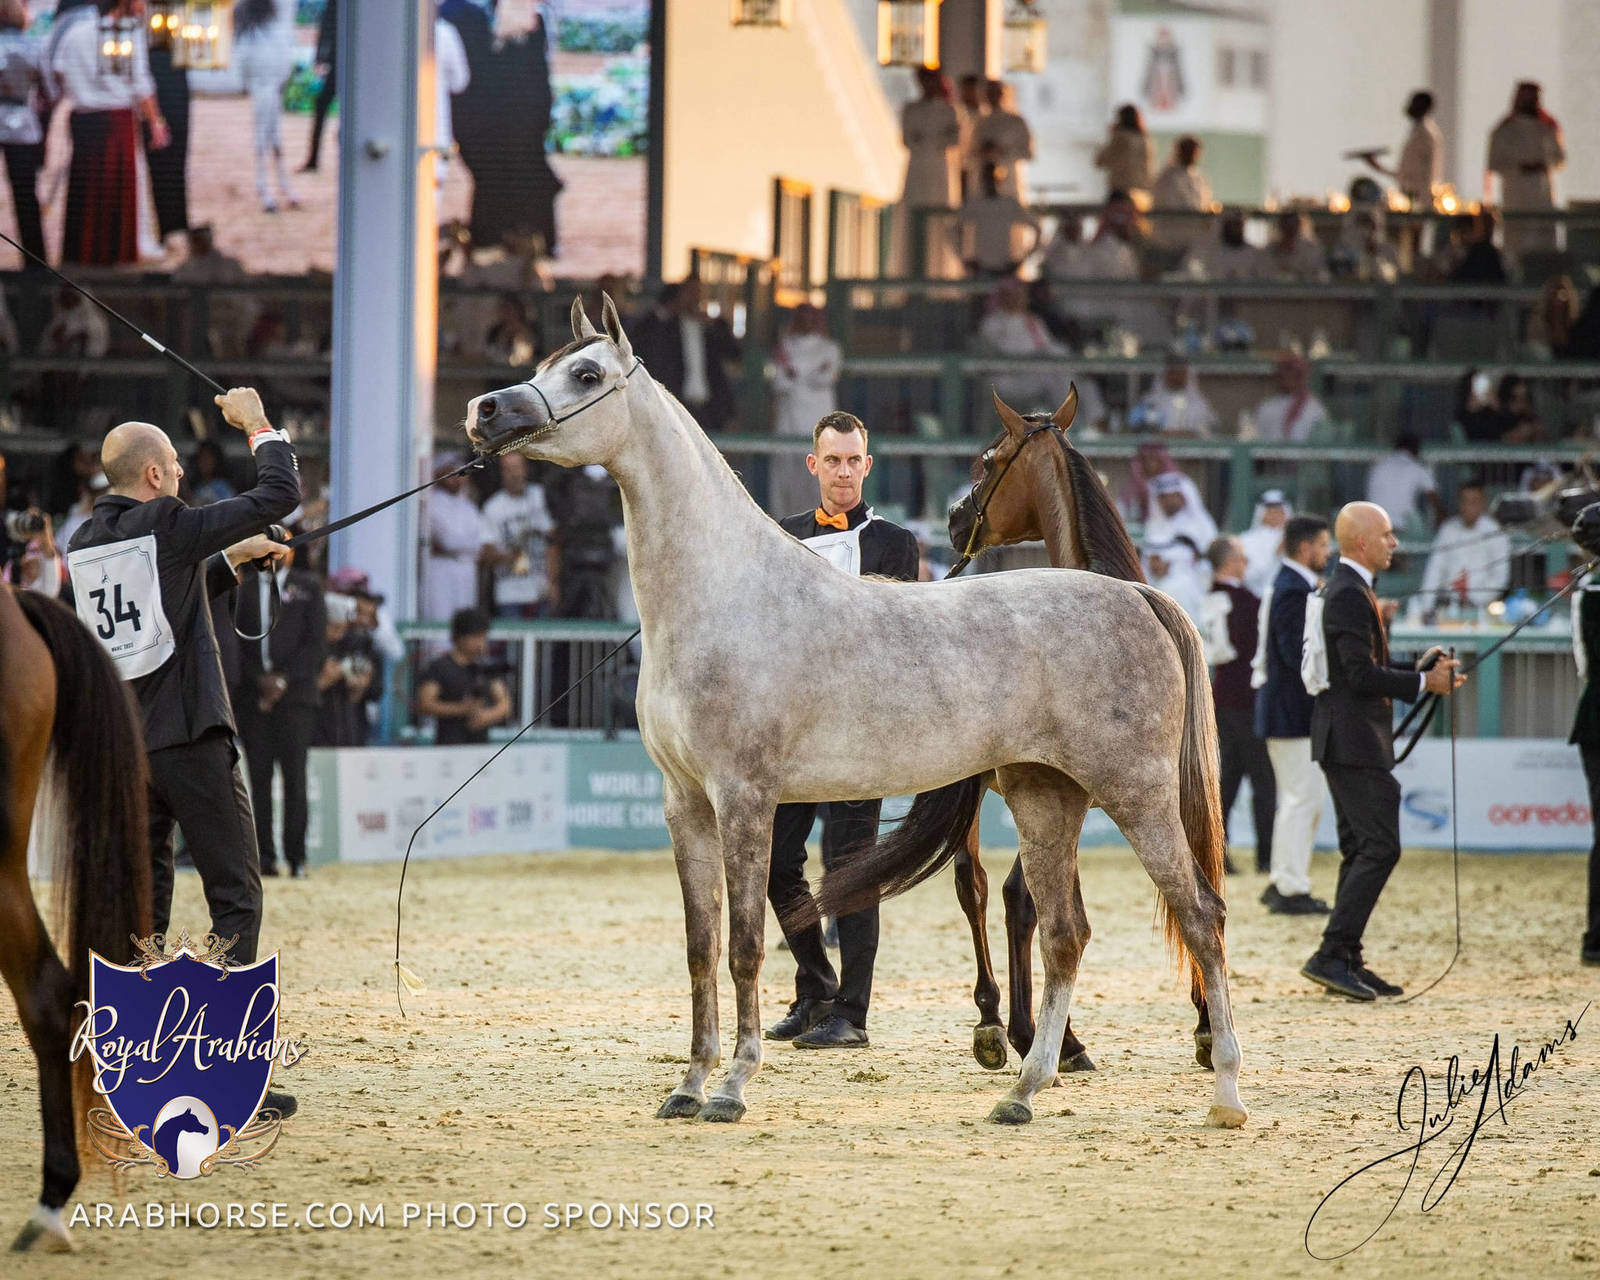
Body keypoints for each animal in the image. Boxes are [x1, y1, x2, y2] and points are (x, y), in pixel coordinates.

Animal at [942, 388, 1211, 1078]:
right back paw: (998, 1021)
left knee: (996, 892)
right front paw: (1049, 1036)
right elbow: (1037, 905)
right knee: (975, 888)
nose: (955, 519)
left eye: (989, 460)